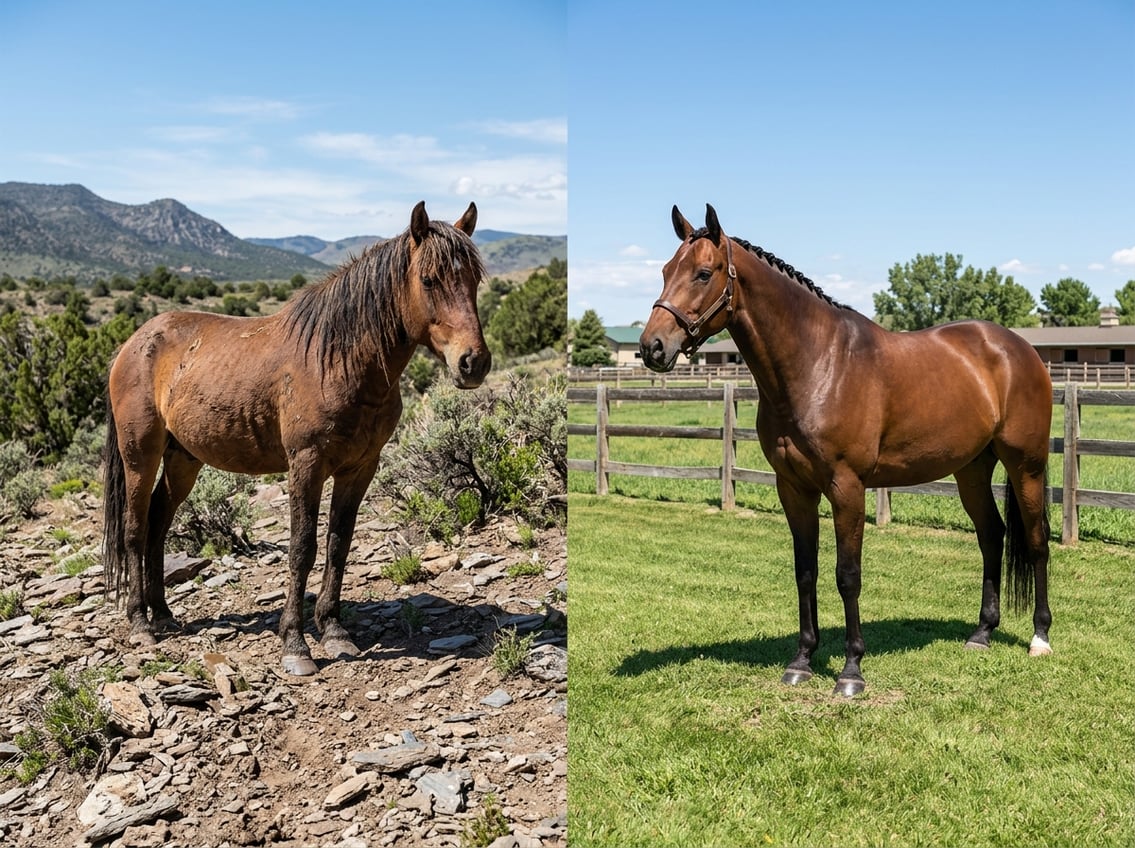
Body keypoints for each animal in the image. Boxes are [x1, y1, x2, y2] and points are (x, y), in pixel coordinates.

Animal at [103, 201, 490, 676]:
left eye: (473, 280)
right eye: (429, 280)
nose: (473, 363)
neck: (340, 360)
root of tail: (134, 343)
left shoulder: (360, 468)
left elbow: (339, 544)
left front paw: (334, 631)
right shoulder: (306, 464)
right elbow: (302, 547)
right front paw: (295, 644)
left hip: (183, 459)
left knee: (159, 522)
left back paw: (163, 614)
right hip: (141, 454)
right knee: (136, 529)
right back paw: (140, 622)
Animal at [640, 204, 1052, 697]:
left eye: (703, 273)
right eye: (666, 271)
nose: (652, 347)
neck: (819, 364)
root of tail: (1018, 348)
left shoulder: (847, 488)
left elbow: (847, 576)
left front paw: (851, 671)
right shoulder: (793, 489)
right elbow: (805, 572)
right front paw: (801, 661)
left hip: (1027, 465)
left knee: (1036, 540)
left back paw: (1040, 637)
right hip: (971, 469)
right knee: (991, 535)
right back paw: (982, 633)